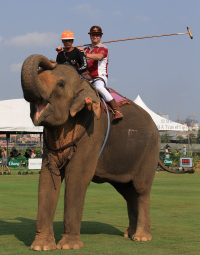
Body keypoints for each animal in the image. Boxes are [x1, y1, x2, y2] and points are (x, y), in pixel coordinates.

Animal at [20, 54, 192, 251]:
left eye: (60, 84)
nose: (51, 60)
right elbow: (47, 177)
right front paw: (41, 247)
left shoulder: (93, 131)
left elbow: (77, 176)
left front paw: (70, 246)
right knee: (128, 191)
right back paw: (129, 234)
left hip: (149, 151)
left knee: (141, 190)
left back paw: (141, 237)